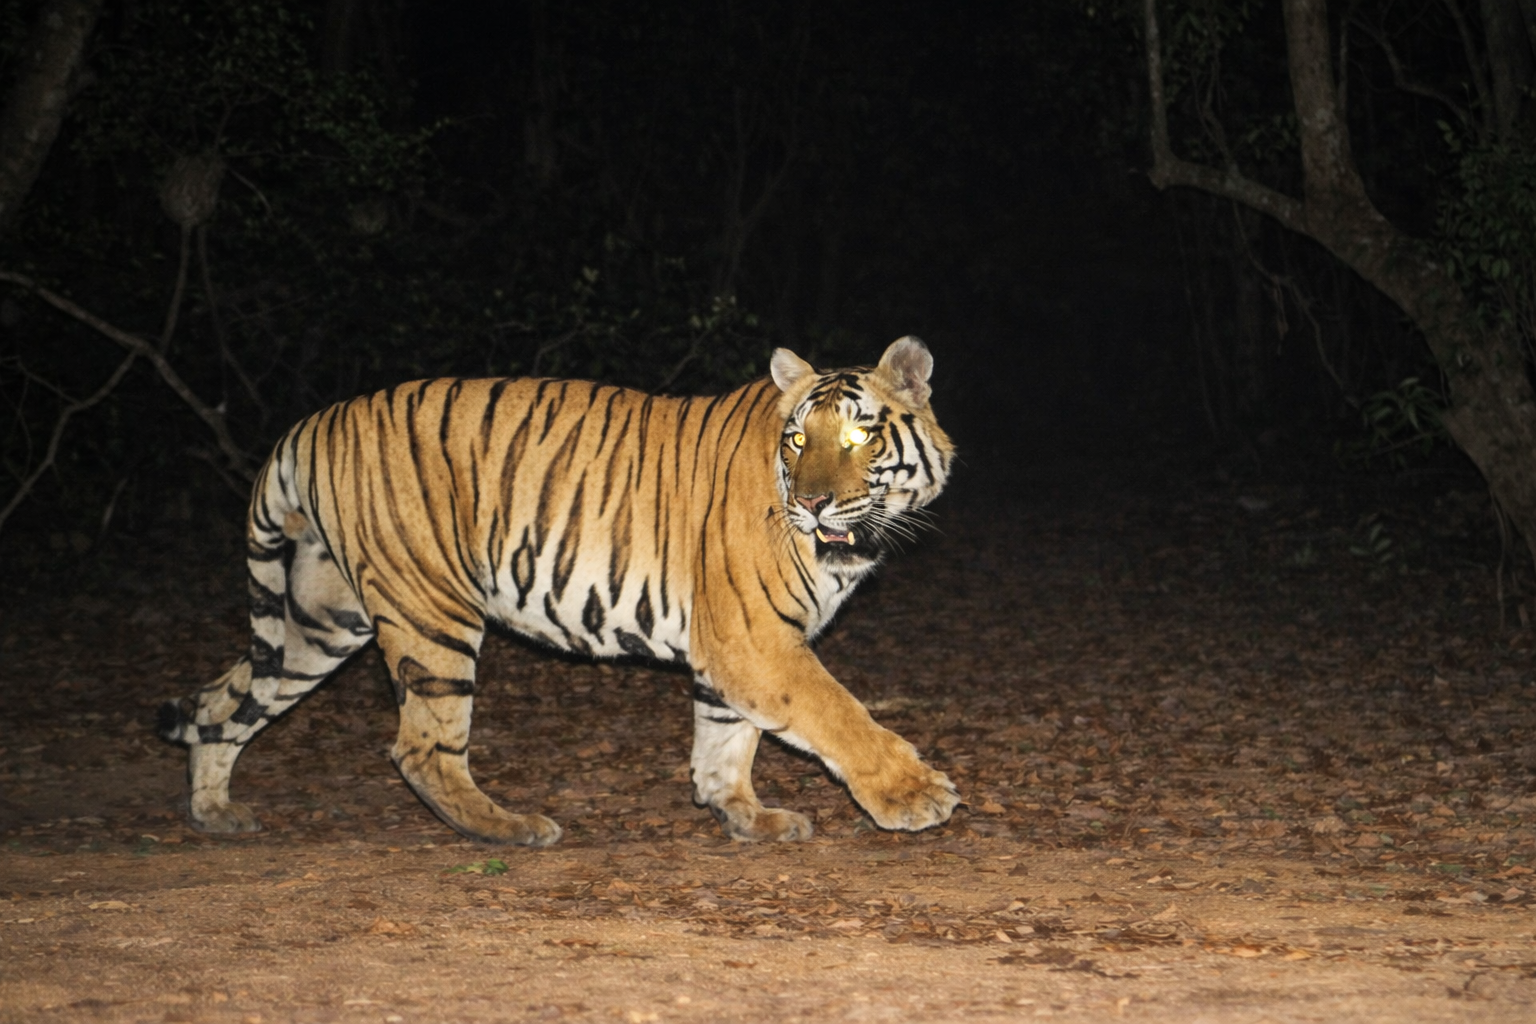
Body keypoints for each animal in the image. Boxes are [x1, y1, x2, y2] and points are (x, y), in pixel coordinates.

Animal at [158, 336, 959, 844]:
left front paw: (744, 817)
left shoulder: (730, 647)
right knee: (420, 748)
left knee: (222, 700)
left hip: (321, 618)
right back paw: (511, 829)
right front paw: (914, 796)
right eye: (798, 440)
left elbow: (724, 740)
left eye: (857, 438)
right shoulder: (754, 636)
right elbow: (834, 713)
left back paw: (214, 812)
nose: (814, 504)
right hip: (431, 611)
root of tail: (311, 423)